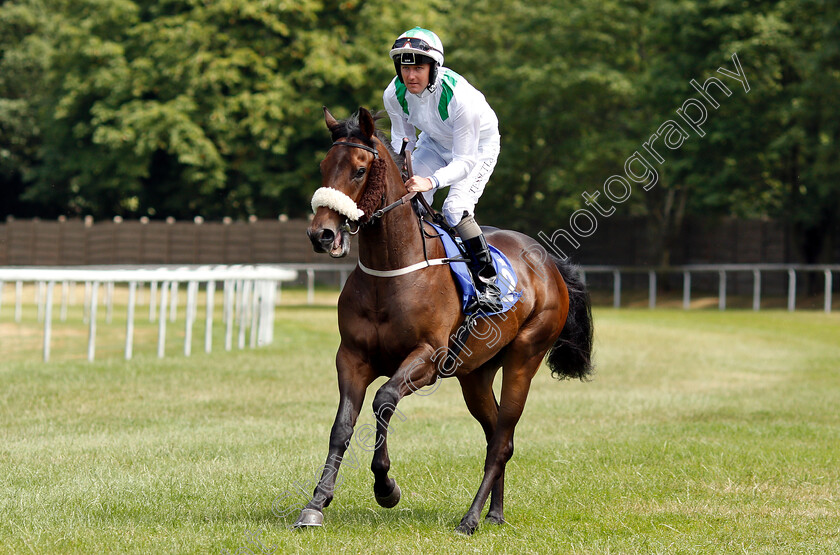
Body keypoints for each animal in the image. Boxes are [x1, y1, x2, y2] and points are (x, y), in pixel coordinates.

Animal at [298, 106, 592, 536]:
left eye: (358, 170)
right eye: (323, 166)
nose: (321, 234)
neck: (392, 270)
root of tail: (550, 263)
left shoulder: (428, 358)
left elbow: (384, 401)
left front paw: (386, 487)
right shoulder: (351, 357)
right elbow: (341, 427)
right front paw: (316, 504)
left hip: (525, 356)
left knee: (502, 439)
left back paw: (470, 518)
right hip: (476, 374)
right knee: (495, 434)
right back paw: (494, 513)